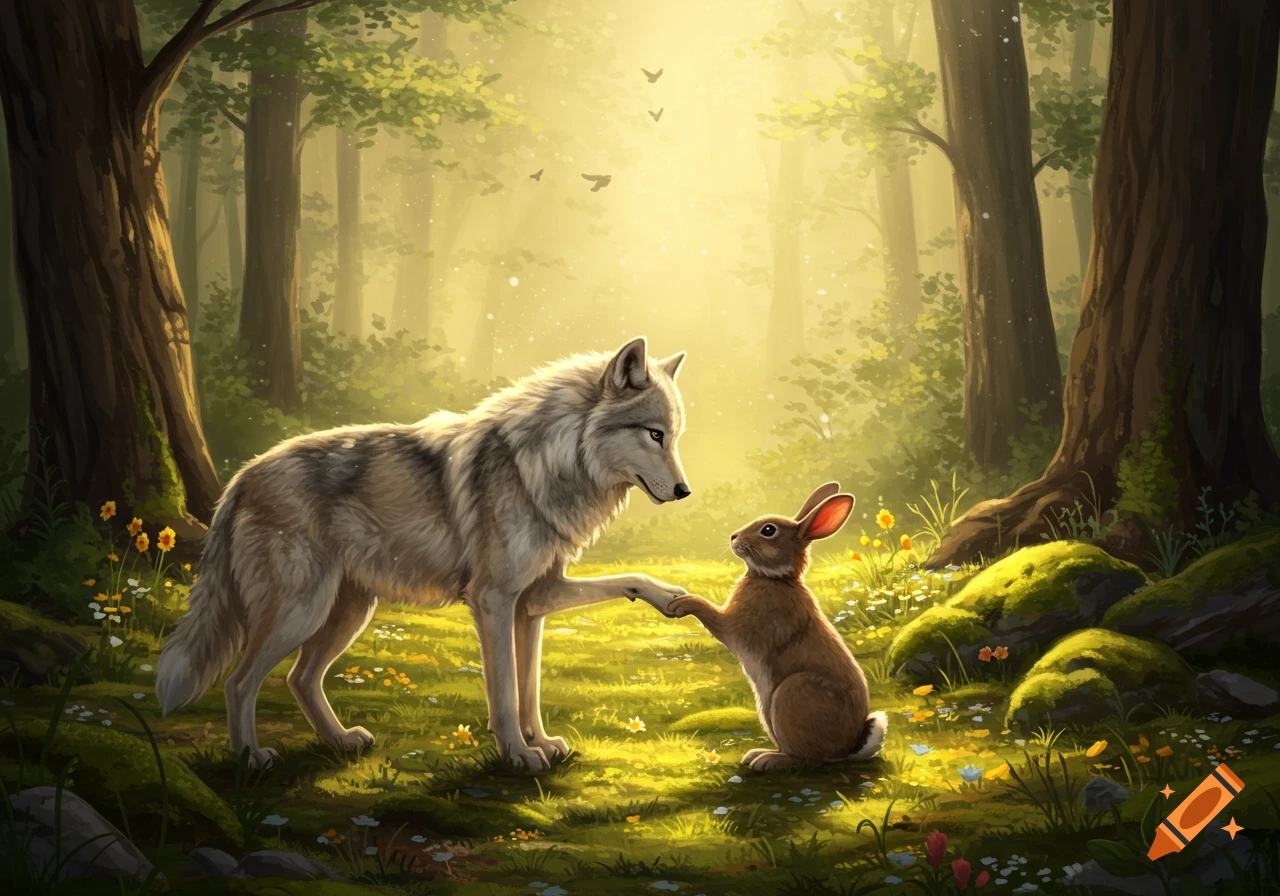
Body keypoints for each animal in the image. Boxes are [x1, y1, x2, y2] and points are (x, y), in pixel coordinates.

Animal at [156, 337, 692, 771]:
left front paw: (540, 742)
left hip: (347, 613)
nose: (685, 491)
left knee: (299, 679)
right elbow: (505, 692)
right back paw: (250, 757)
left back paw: (340, 741)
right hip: (301, 612)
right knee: (239, 683)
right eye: (655, 434)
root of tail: (242, 476)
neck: (546, 464)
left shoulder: (535, 602)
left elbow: (533, 685)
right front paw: (518, 756)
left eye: (675, 436)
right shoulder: (493, 601)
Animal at [666, 482, 887, 772]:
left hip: (791, 694)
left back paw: (767, 760)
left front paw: (682, 604)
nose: (733, 537)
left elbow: (712, 615)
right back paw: (757, 754)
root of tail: (848, 749)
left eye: (768, 530)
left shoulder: (737, 626)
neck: (775, 578)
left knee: (808, 758)